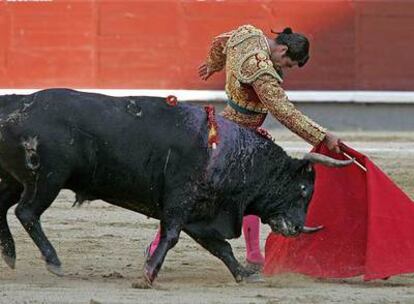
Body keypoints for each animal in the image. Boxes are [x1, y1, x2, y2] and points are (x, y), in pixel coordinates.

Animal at [0, 89, 352, 284]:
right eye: (304, 190)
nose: (297, 228)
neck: (236, 155)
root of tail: (14, 104)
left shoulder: (201, 216)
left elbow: (221, 248)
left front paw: (244, 274)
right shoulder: (180, 203)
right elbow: (171, 237)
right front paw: (148, 276)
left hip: (15, 180)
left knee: (4, 209)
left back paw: (10, 255)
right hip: (47, 179)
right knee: (27, 213)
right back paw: (54, 262)